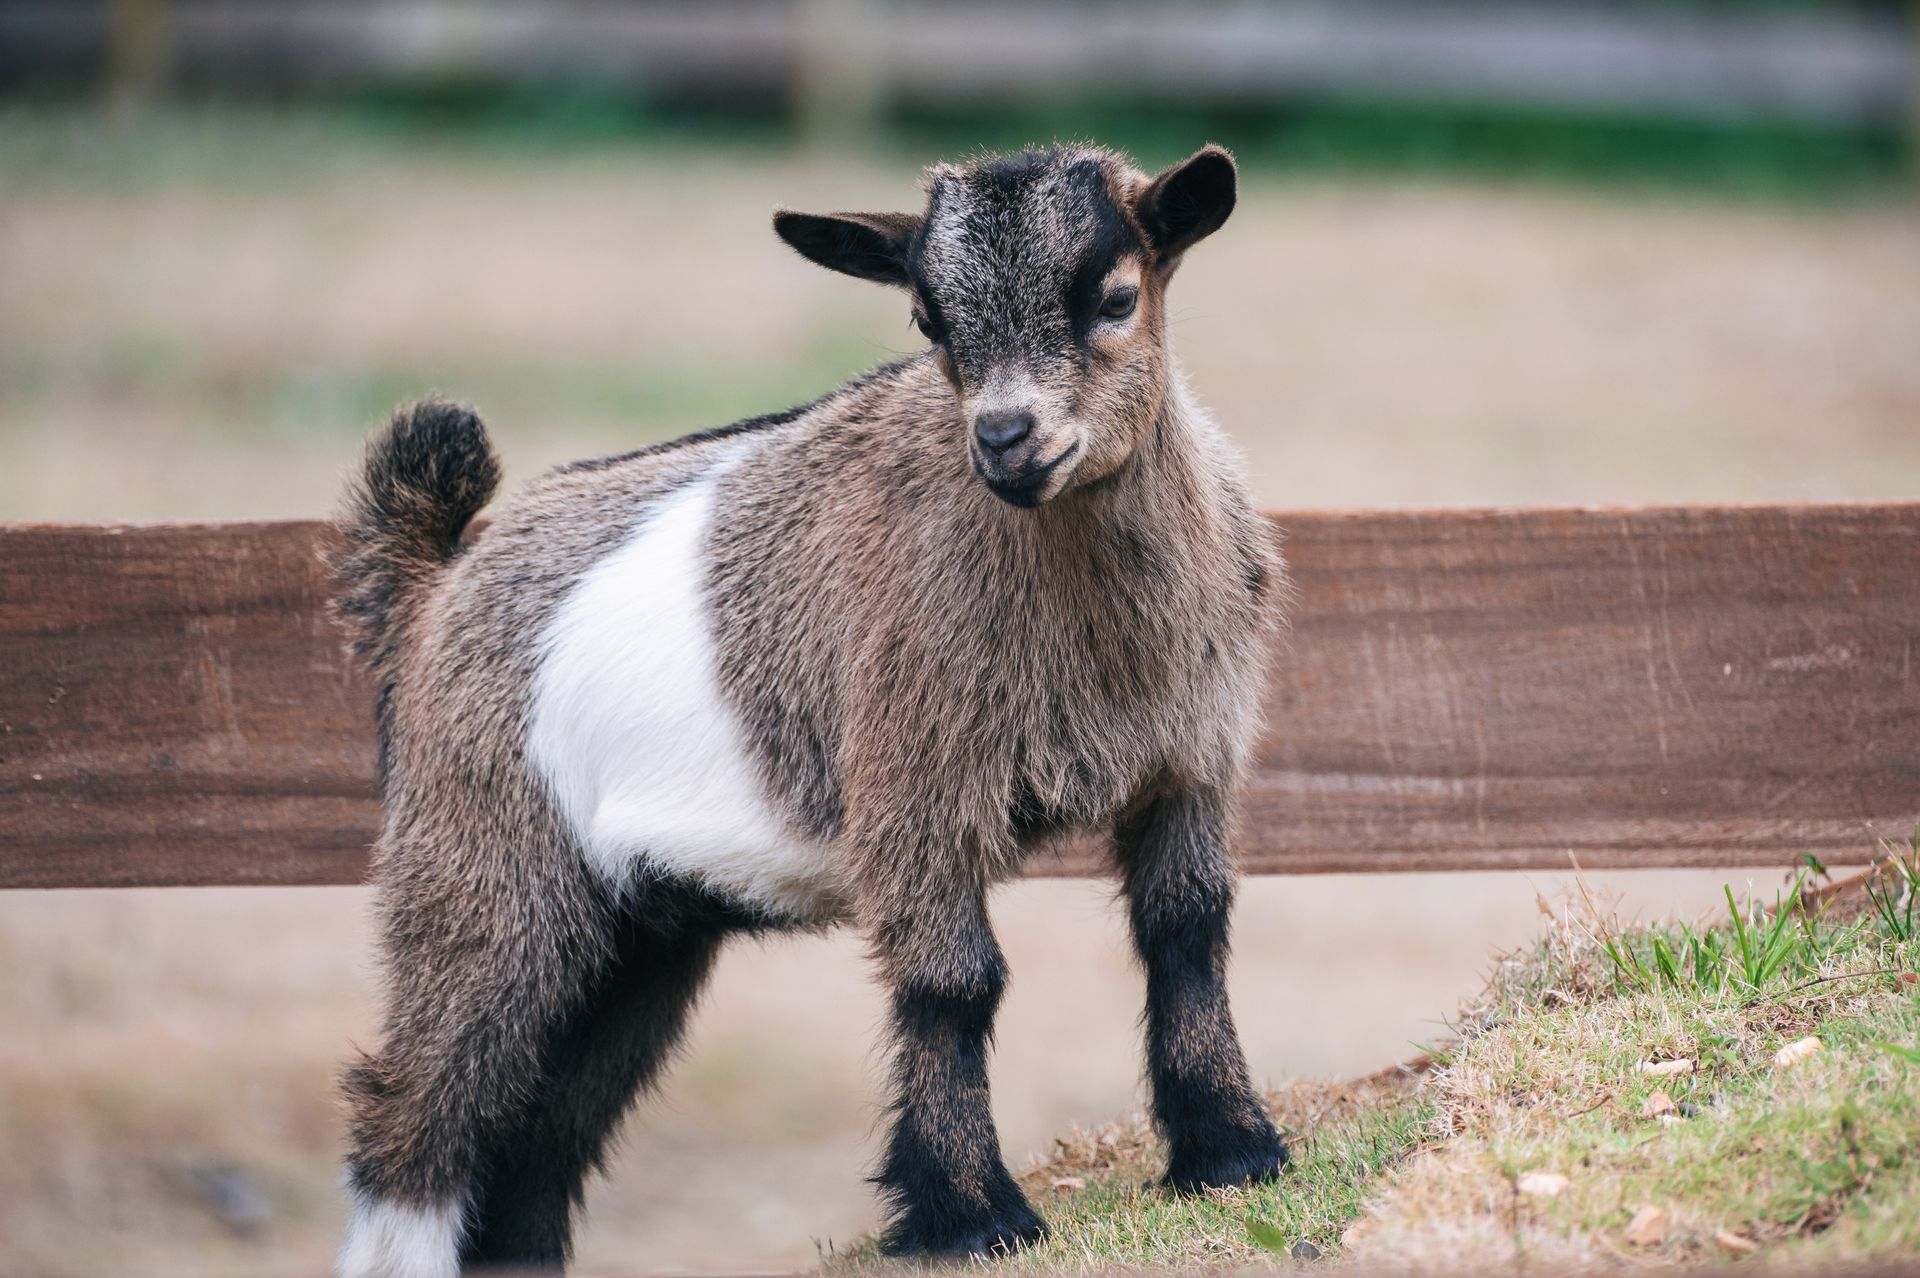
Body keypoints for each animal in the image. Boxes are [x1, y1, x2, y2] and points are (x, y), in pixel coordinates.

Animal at [330, 142, 1287, 1278]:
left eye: (1114, 297)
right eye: (928, 320)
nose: (1005, 438)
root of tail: (435, 579)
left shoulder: (1188, 763)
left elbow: (1186, 929)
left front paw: (1230, 1150)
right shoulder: (913, 791)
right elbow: (953, 985)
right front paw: (971, 1215)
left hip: (637, 937)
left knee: (542, 1136)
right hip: (481, 868)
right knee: (421, 1109)